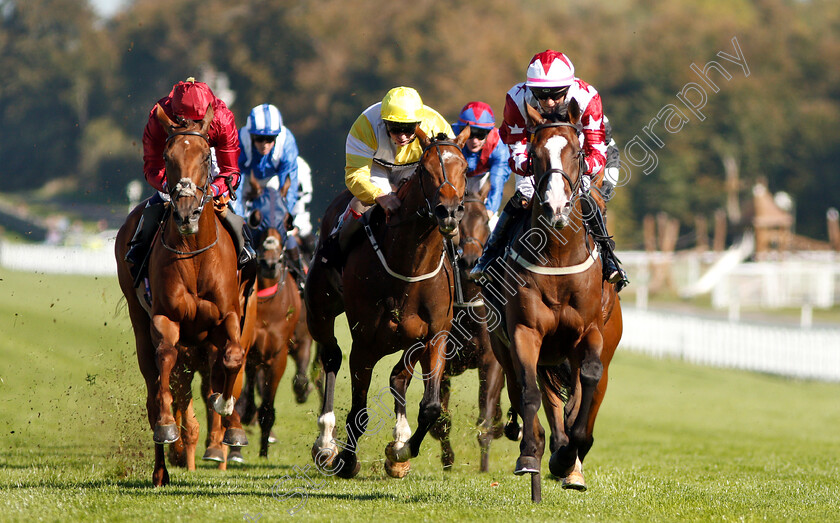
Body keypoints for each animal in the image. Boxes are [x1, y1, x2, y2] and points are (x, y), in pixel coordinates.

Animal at [114, 105, 256, 488]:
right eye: (168, 156)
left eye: (207, 156)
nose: (186, 213)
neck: (194, 252)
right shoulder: (166, 318)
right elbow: (166, 359)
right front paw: (168, 426)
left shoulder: (230, 315)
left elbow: (233, 358)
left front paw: (228, 417)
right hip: (138, 320)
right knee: (153, 386)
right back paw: (160, 469)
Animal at [306, 127, 470, 478]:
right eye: (425, 170)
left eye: (465, 169)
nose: (449, 212)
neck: (409, 268)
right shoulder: (364, 342)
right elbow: (359, 411)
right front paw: (346, 460)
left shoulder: (435, 335)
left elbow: (430, 406)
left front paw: (402, 449)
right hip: (320, 312)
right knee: (331, 357)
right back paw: (325, 443)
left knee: (398, 377)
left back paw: (398, 443)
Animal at [430, 182, 508, 472]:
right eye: (460, 221)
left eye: (485, 220)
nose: (471, 260)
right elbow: (440, 418)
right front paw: (448, 462)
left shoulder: (490, 361)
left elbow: (485, 418)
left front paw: (484, 468)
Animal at [482, 100, 620, 502]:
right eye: (535, 153)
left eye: (576, 152)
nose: (556, 206)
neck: (558, 256)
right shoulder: (525, 332)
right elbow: (529, 391)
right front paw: (532, 454)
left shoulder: (590, 332)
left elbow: (587, 385)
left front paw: (569, 456)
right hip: (506, 347)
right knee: (527, 391)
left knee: (582, 395)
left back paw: (570, 462)